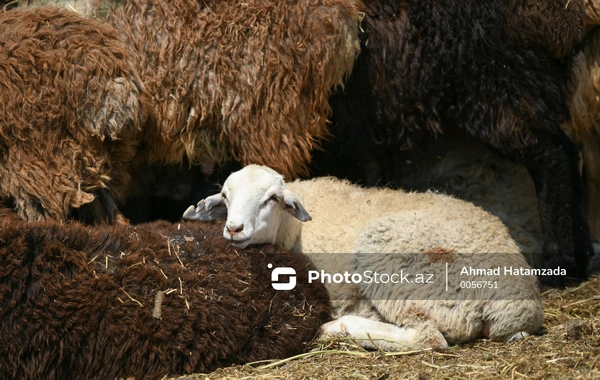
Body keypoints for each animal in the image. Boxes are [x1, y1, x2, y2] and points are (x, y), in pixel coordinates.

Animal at [184, 166, 544, 354]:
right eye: (226, 197)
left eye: (272, 198)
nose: (234, 228)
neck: (292, 228)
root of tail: (517, 307)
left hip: (396, 265)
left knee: (427, 337)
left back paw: (338, 327)